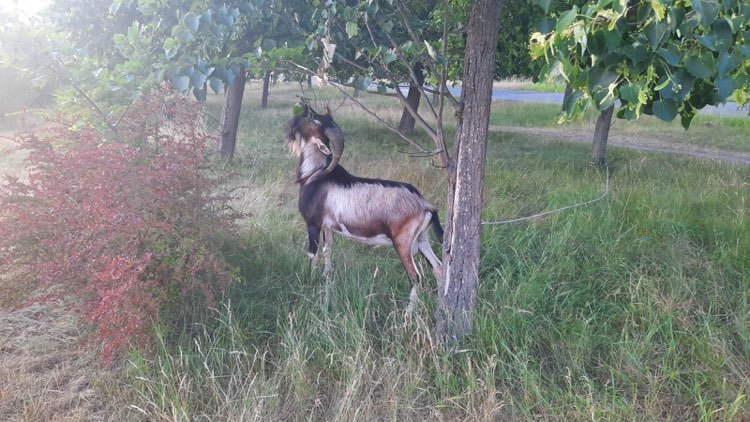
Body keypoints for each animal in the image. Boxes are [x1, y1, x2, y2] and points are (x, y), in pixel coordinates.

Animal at [284, 104, 444, 312]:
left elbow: (314, 253)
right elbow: (328, 250)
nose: (301, 111)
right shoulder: (328, 227)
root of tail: (426, 206)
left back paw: (408, 314)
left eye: (314, 122)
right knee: (439, 268)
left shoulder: (313, 224)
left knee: (416, 276)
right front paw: (326, 277)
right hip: (422, 239)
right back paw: (441, 307)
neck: (315, 174)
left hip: (403, 243)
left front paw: (309, 280)